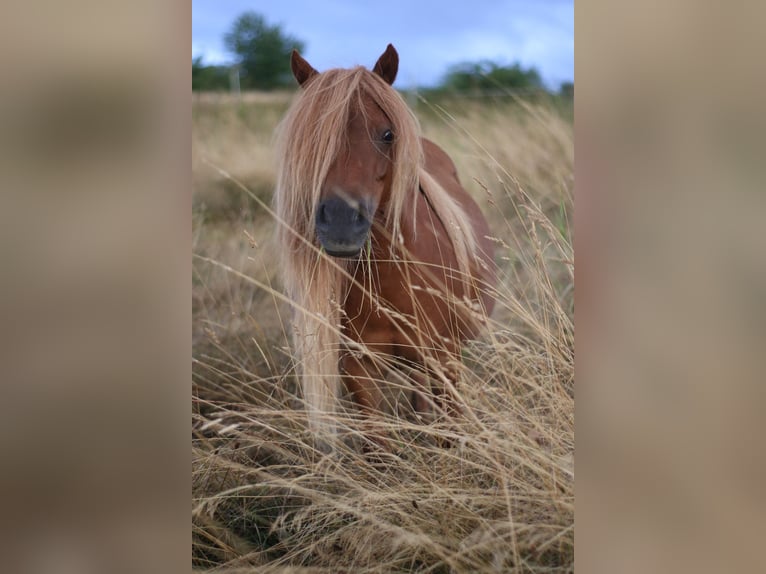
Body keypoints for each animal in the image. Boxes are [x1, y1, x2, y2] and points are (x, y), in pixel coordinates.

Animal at [274, 46, 498, 450]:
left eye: (388, 134)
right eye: (311, 141)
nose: (342, 221)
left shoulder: (446, 360)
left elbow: (451, 432)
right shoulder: (358, 368)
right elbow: (376, 445)